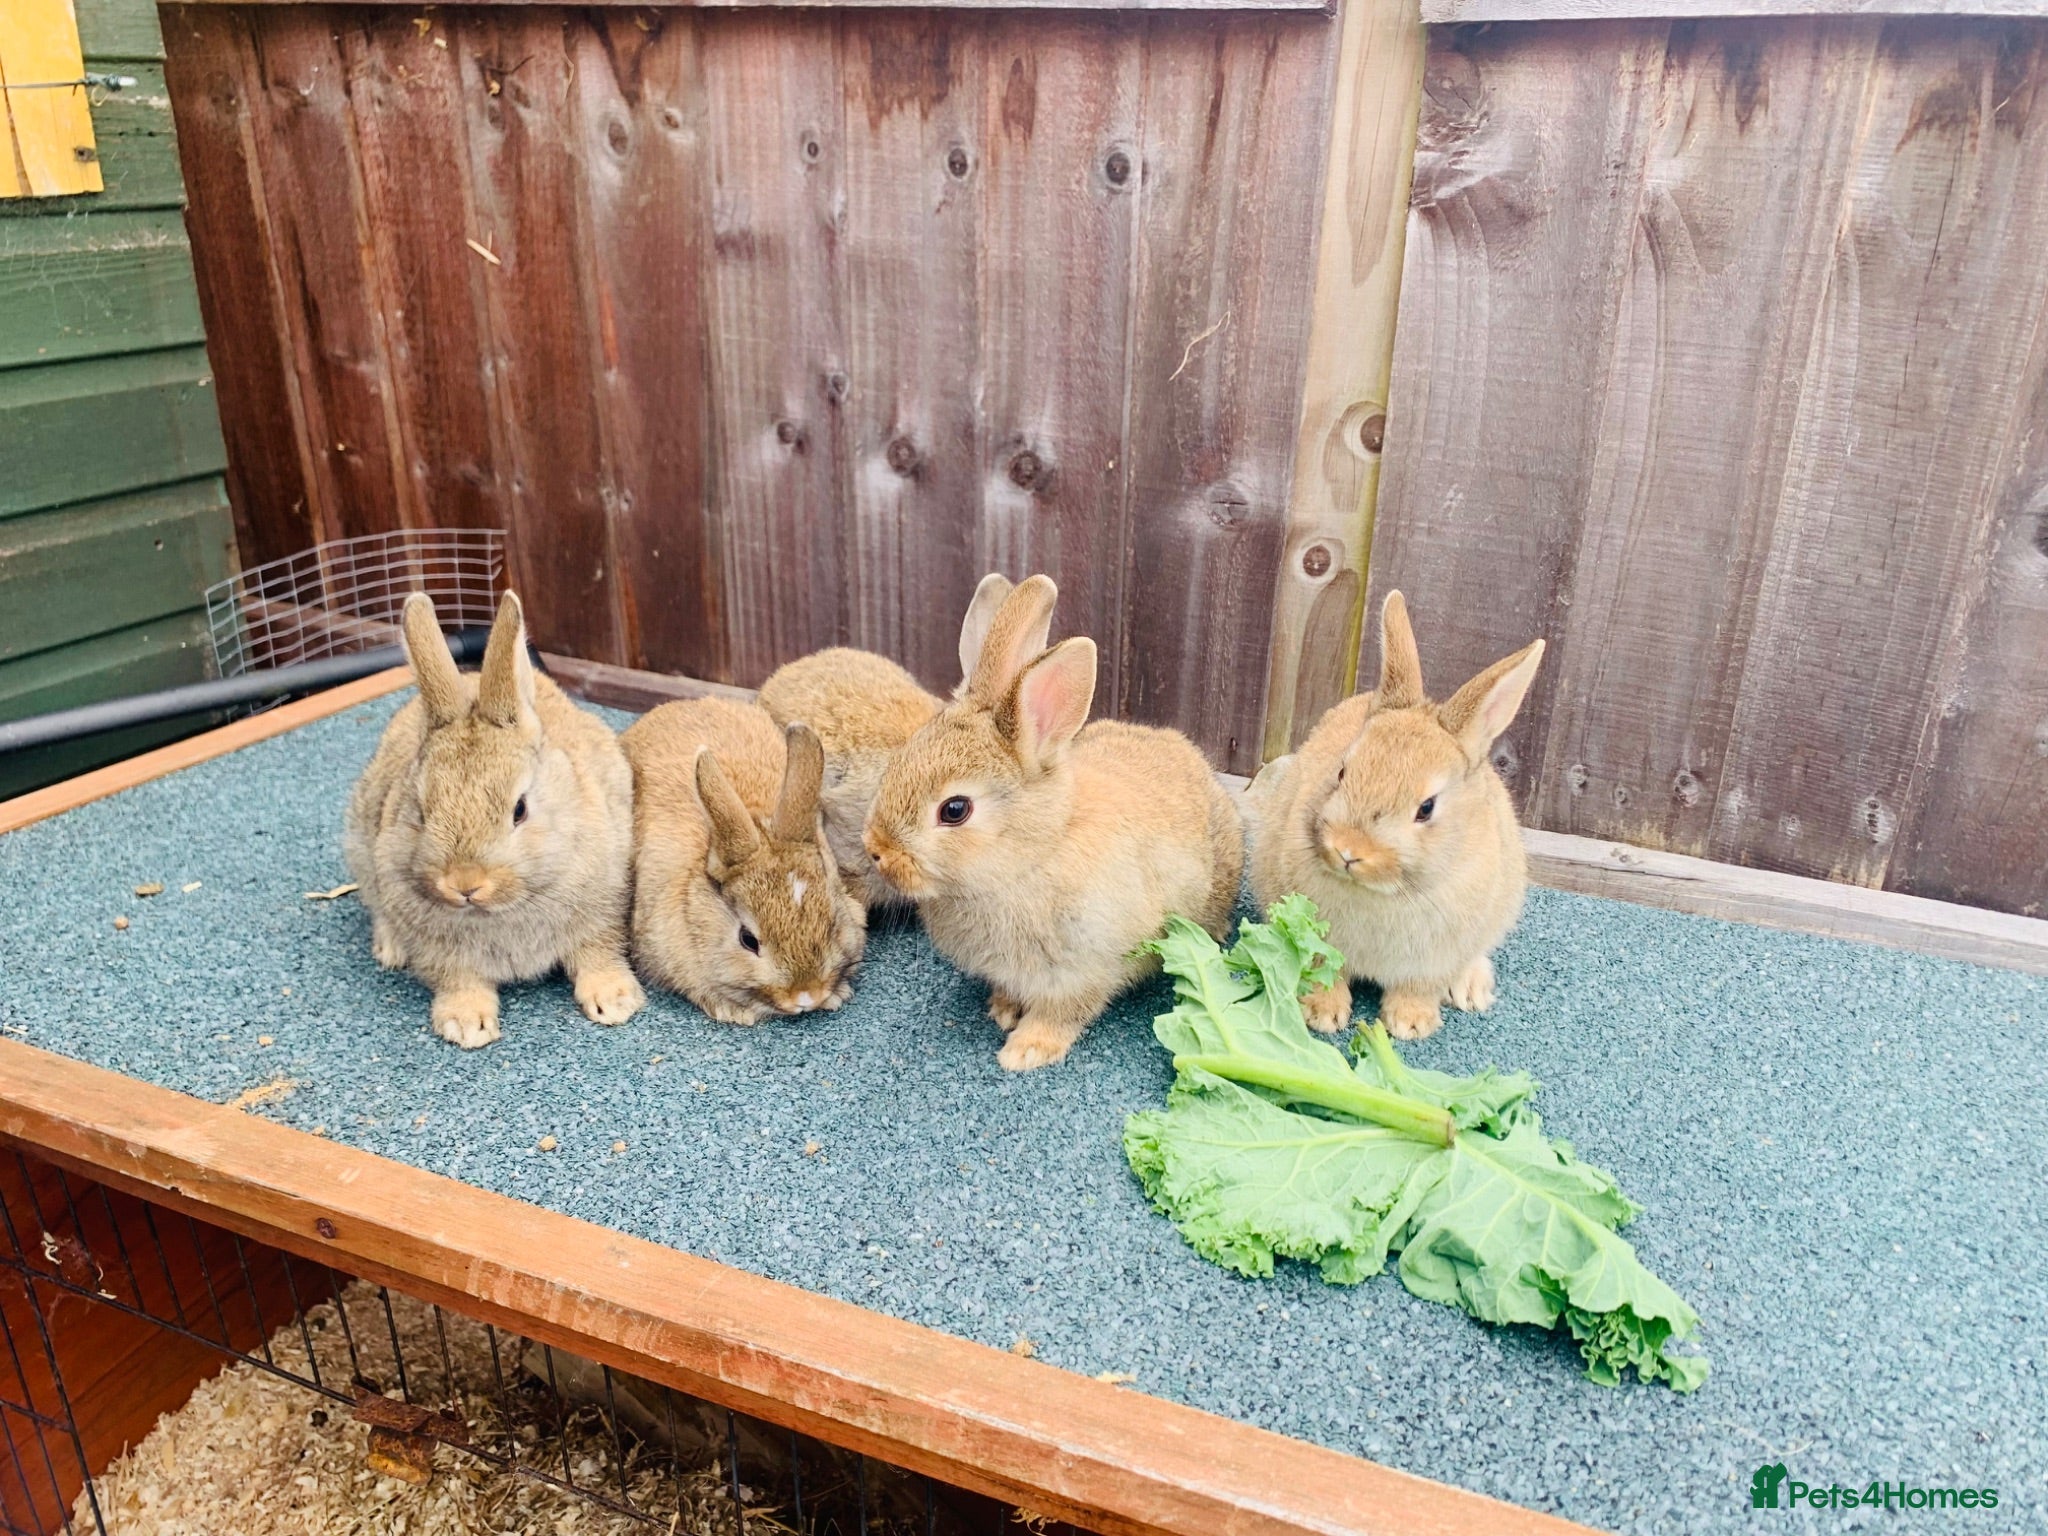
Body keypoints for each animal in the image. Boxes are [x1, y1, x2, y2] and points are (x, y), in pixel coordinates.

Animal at [343, 591, 644, 1049]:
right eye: (421, 810)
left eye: (519, 809)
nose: (464, 884)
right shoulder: (439, 949)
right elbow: (458, 980)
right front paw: (466, 1024)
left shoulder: (603, 907)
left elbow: (597, 952)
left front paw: (614, 1001)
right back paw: (390, 950)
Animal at [862, 575, 1244, 1072]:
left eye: (954, 810)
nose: (876, 849)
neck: (1032, 856)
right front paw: (1003, 1010)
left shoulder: (1088, 966)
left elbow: (1064, 1012)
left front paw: (1025, 1050)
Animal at [1246, 590, 1544, 1041]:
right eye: (1342, 771)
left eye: (1426, 808)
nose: (1348, 850)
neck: (1384, 893)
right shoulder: (1315, 939)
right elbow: (1324, 972)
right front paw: (1322, 1014)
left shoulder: (1435, 957)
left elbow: (1418, 985)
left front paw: (1410, 1024)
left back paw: (1471, 990)